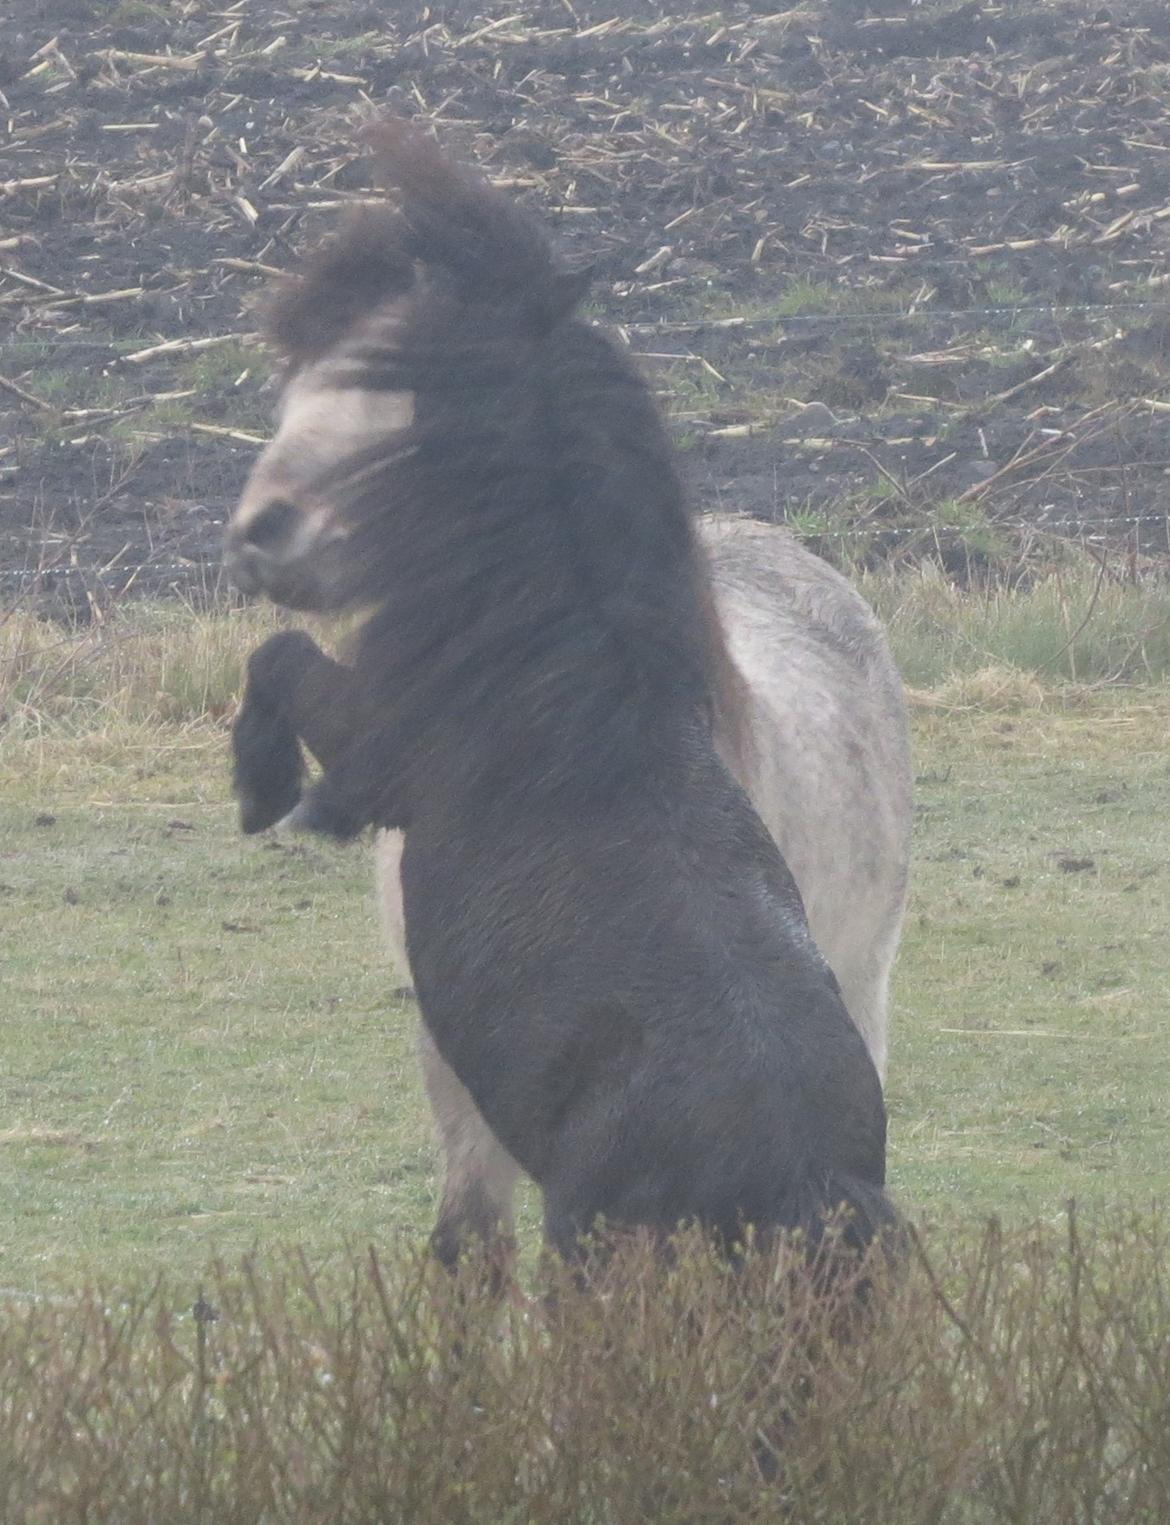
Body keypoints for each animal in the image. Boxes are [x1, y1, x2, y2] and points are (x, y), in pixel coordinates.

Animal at [231, 115, 903, 1262]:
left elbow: (278, 661)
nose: (261, 531)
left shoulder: (383, 744)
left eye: (403, 376)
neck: (570, 672)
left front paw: (271, 792)